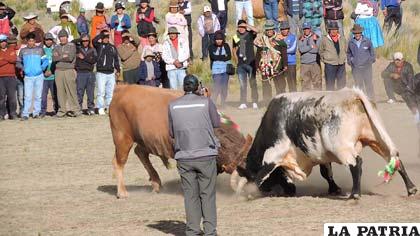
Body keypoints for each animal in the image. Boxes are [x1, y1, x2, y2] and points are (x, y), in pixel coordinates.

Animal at [109, 85, 253, 198]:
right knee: (119, 162)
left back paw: (156, 183)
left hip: (145, 140)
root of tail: (121, 89)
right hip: (122, 138)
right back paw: (122, 192)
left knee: (140, 152)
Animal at [233, 87, 416, 198]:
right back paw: (411, 188)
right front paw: (334, 189)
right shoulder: (321, 155)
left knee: (356, 163)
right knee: (395, 160)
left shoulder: (272, 156)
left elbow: (260, 176)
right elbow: (326, 173)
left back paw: (355, 193)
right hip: (377, 139)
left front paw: (251, 192)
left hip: (341, 147)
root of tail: (352, 94)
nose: (290, 191)